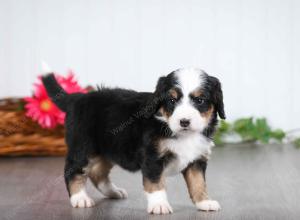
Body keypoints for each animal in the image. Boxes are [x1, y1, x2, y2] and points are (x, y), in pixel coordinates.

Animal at [41, 67, 225, 215]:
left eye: (200, 100)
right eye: (172, 100)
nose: (184, 122)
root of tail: (77, 98)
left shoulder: (196, 160)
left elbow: (198, 182)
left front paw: (204, 202)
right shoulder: (152, 157)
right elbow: (156, 183)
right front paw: (159, 205)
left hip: (108, 150)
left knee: (97, 172)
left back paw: (113, 192)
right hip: (83, 147)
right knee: (73, 171)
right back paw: (80, 198)